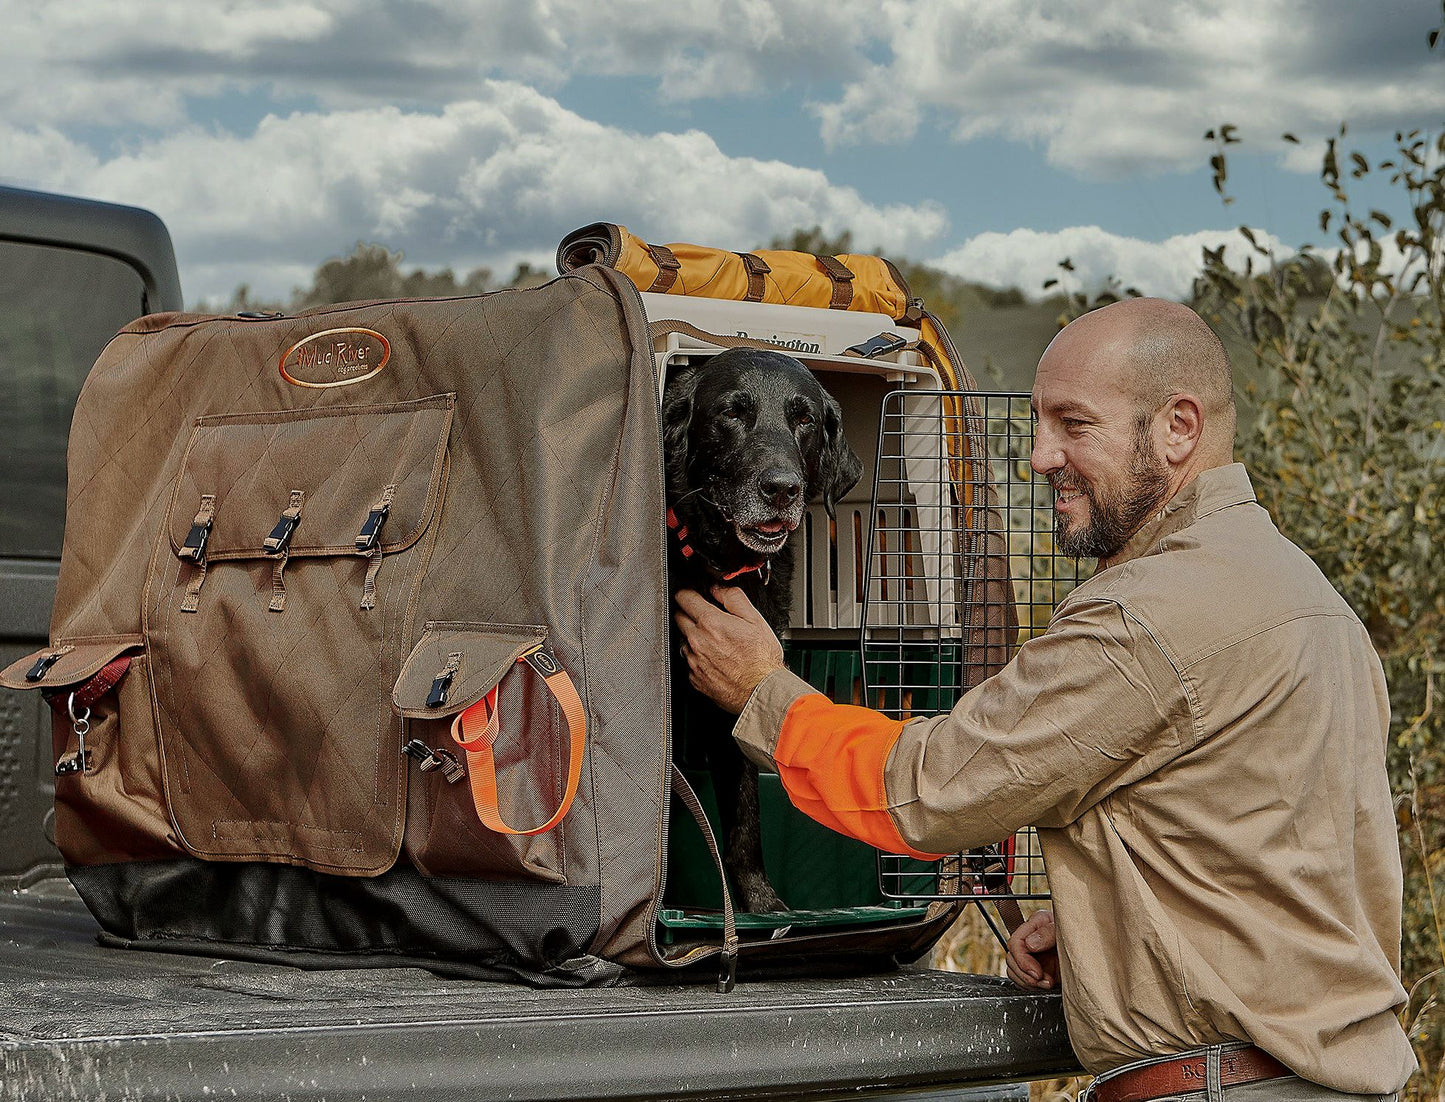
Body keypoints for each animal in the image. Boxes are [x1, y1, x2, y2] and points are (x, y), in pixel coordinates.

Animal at [661, 350, 855, 912]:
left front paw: (758, 902)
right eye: (732, 412)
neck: (715, 562)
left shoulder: (737, 697)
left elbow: (746, 811)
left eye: (804, 420)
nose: (782, 488)